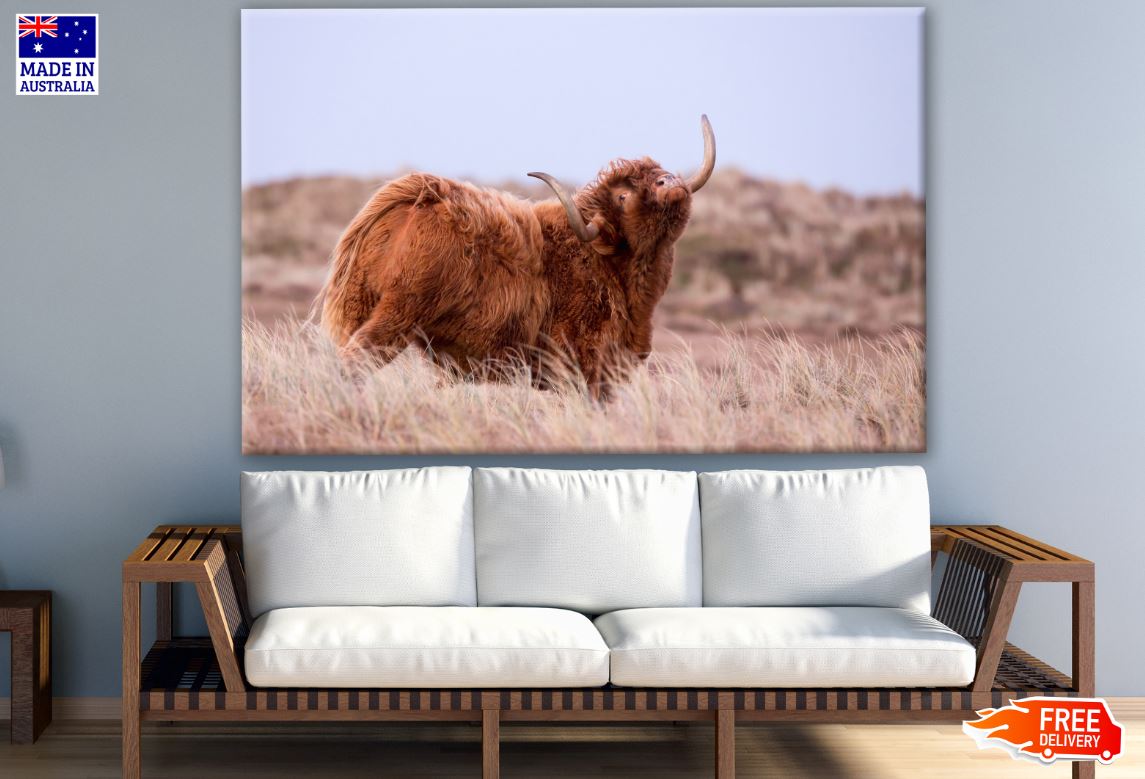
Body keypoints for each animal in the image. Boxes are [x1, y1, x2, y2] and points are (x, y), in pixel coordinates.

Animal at [319, 115, 716, 398]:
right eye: (622, 196)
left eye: (656, 172)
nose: (669, 181)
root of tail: (417, 196)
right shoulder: (584, 365)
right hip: (398, 314)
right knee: (354, 362)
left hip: (364, 307)